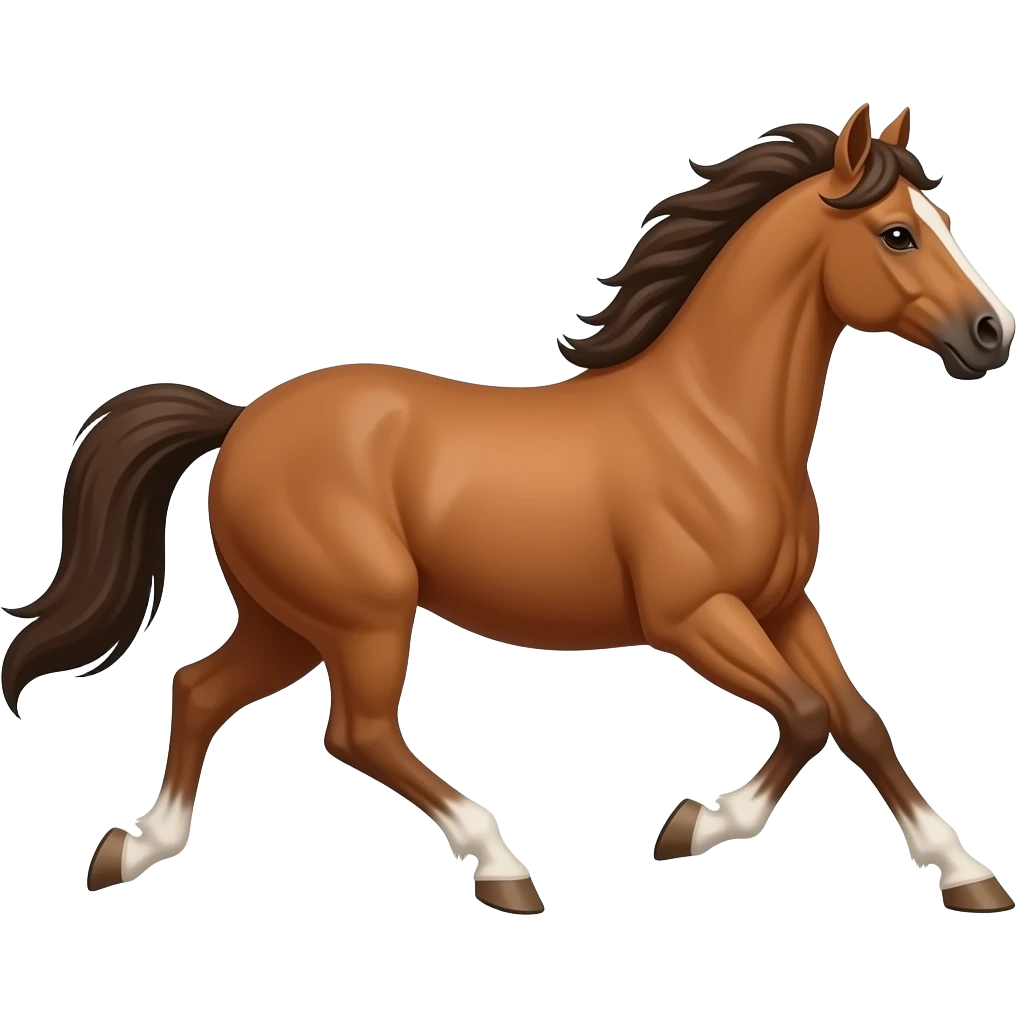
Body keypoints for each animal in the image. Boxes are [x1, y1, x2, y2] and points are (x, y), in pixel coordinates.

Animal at [2, 102, 1014, 915]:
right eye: (896, 234)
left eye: (939, 219)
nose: (990, 334)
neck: (715, 423)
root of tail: (242, 417)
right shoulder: (692, 617)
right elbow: (805, 715)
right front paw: (693, 825)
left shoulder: (781, 606)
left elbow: (859, 722)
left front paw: (968, 876)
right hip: (364, 613)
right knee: (355, 731)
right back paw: (503, 867)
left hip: (290, 621)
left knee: (199, 688)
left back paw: (133, 849)